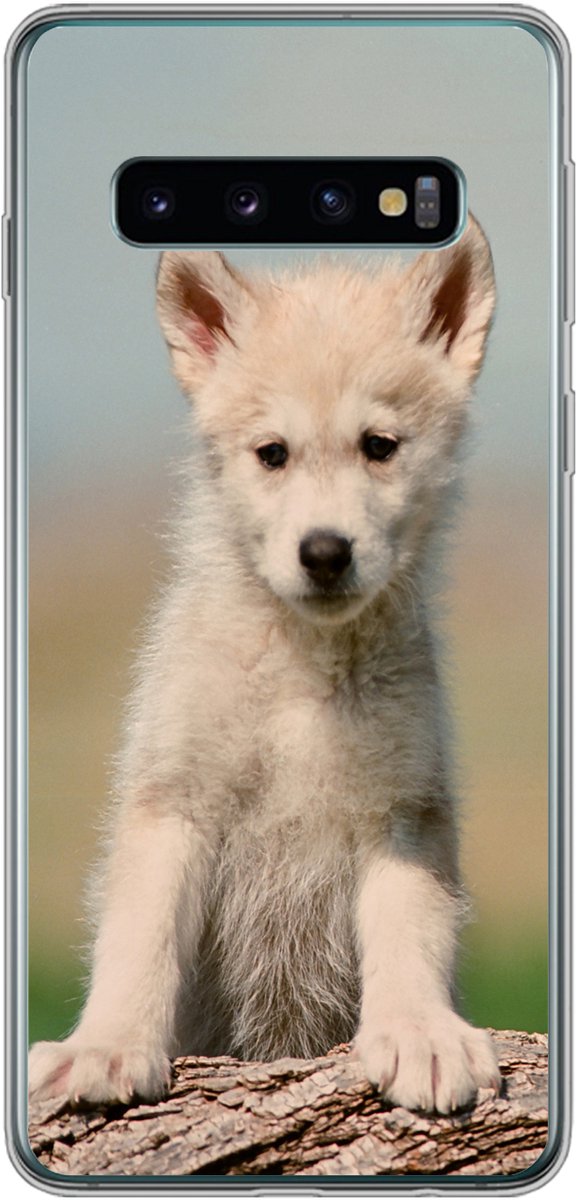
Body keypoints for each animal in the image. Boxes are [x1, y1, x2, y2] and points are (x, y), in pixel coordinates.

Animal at [29, 217, 501, 1115]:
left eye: (379, 447)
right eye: (272, 453)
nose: (324, 553)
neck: (301, 675)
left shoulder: (404, 812)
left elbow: (411, 930)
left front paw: (420, 1033)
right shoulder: (173, 800)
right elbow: (140, 939)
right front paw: (107, 1046)